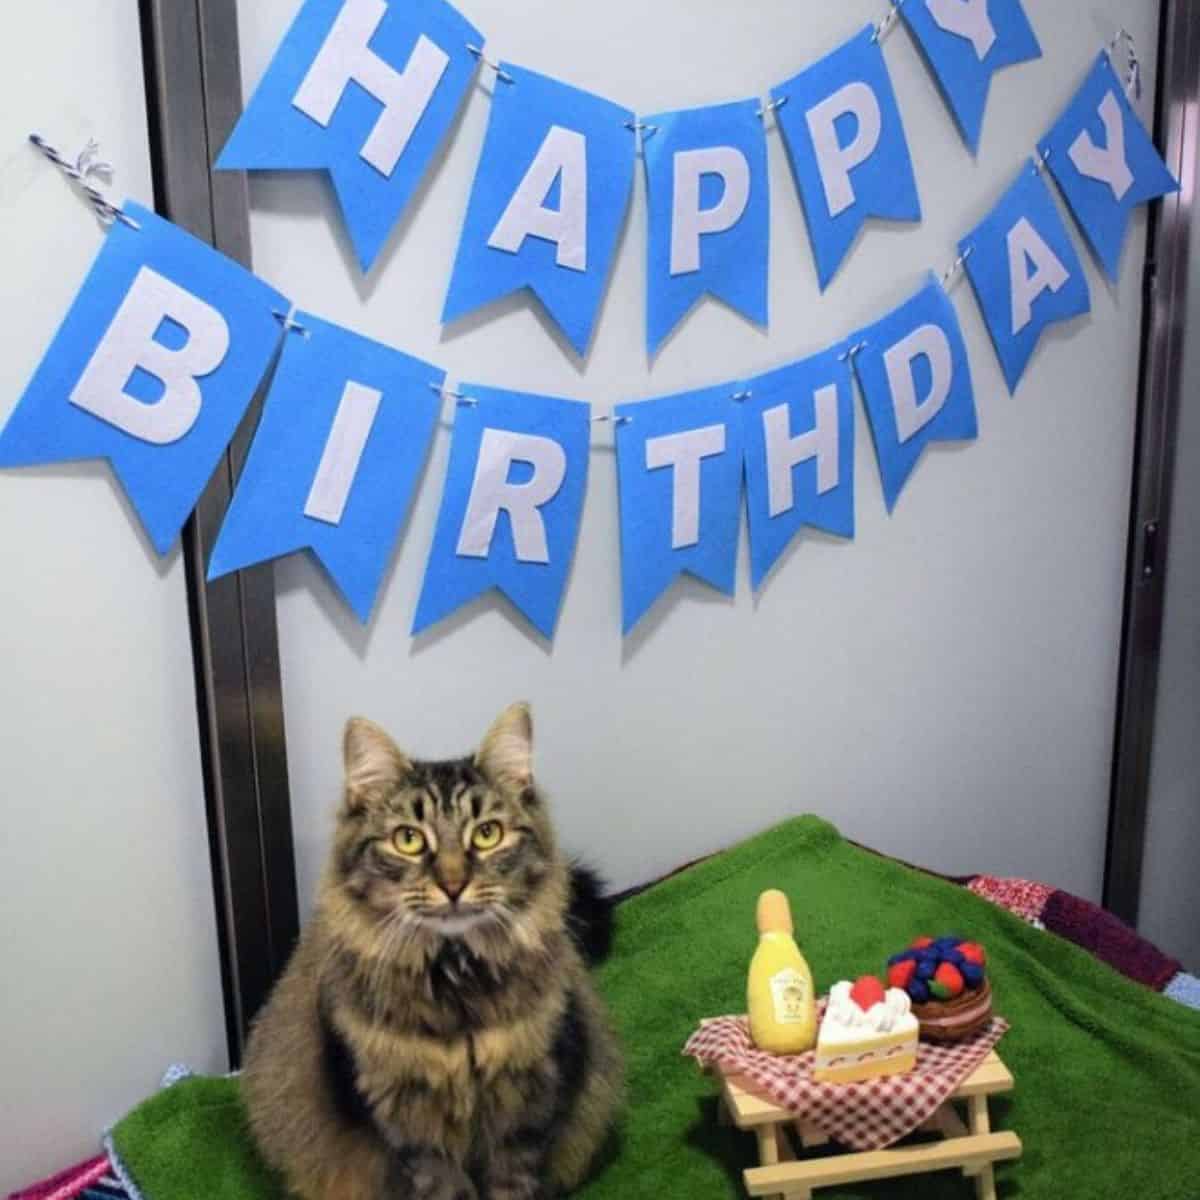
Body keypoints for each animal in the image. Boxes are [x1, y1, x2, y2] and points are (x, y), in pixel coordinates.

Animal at [240, 700, 624, 1200]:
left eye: (486, 834)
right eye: (409, 840)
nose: (453, 884)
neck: (455, 976)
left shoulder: (527, 1097)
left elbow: (513, 1181)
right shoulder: (406, 1116)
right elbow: (443, 1186)